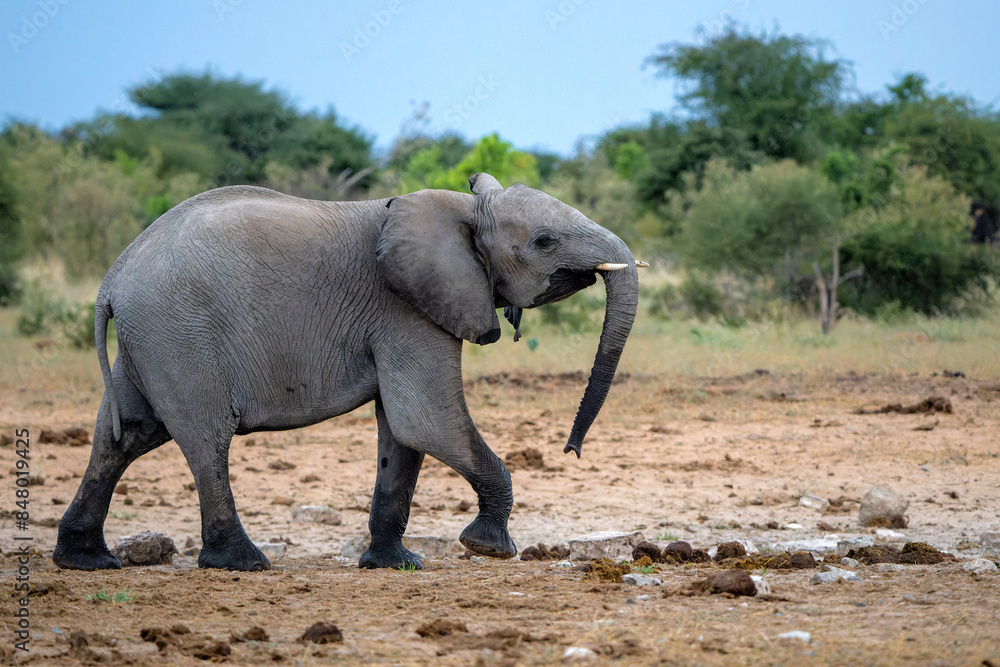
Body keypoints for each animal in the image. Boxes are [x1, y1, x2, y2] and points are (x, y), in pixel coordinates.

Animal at [52, 172, 640, 572]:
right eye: (544, 241)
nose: (571, 450)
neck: (460, 208)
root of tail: (112, 280)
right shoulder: (406, 309)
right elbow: (425, 421)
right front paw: (490, 547)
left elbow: (401, 435)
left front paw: (394, 564)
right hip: (180, 335)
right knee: (205, 438)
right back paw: (243, 563)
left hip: (150, 341)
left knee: (124, 436)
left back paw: (85, 560)